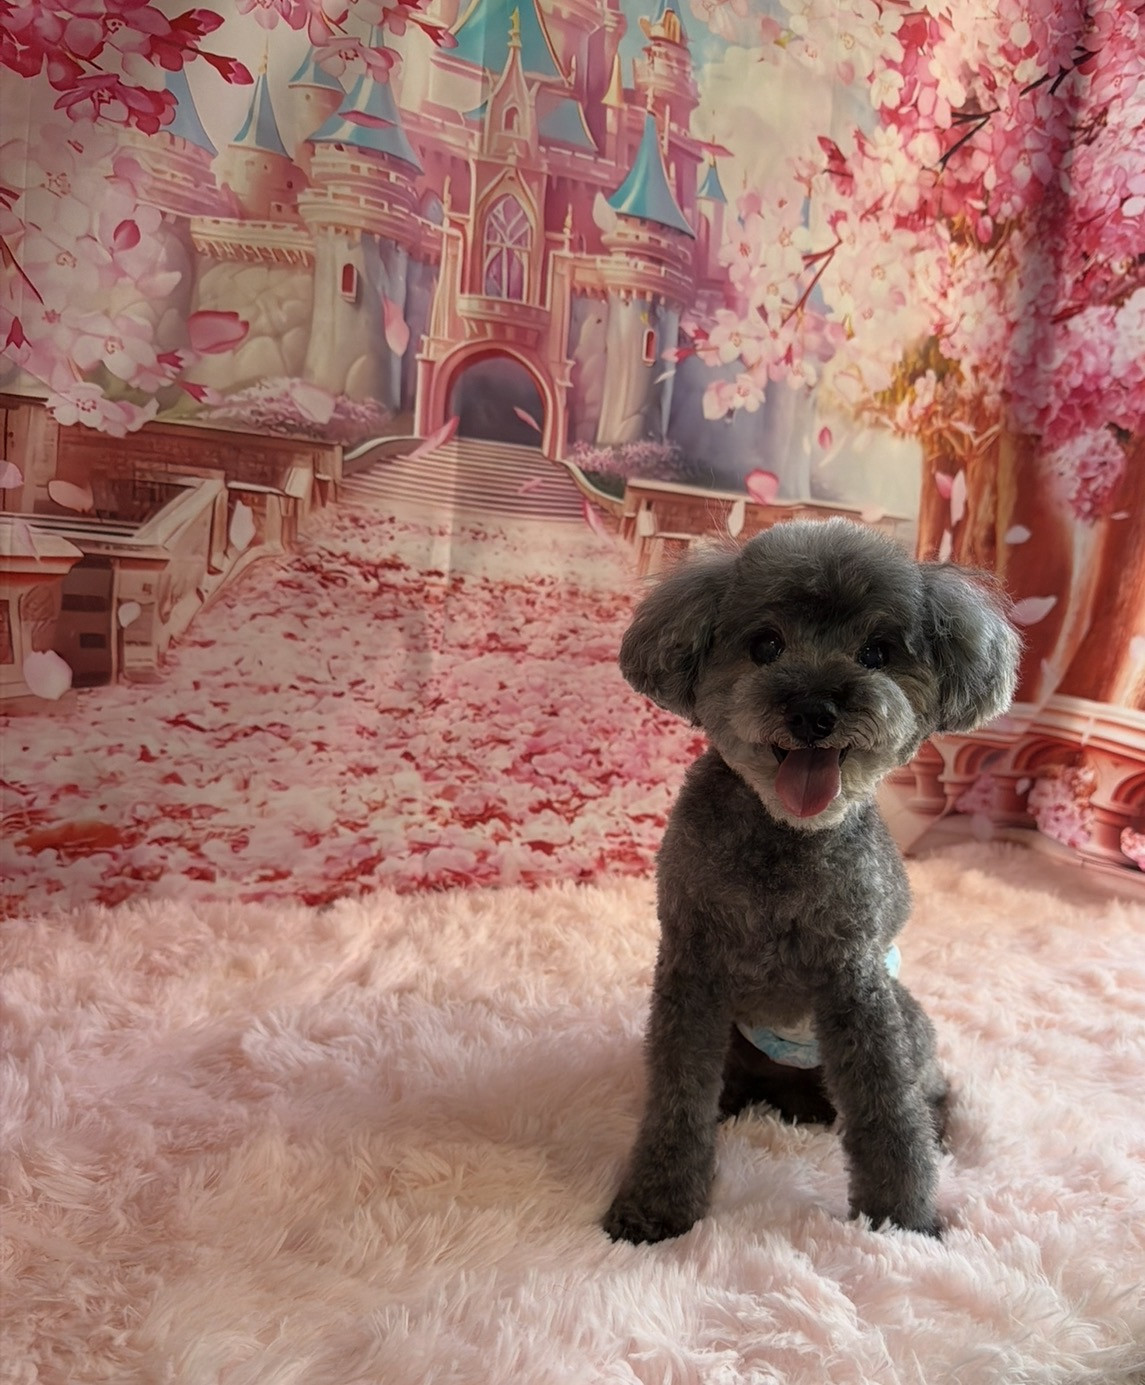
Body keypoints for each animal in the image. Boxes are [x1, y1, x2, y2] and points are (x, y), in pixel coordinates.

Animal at [603, 517, 1021, 1244]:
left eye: (877, 651)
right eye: (764, 645)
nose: (813, 710)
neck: (784, 837)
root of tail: (790, 1091)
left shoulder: (854, 983)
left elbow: (887, 1110)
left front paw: (903, 1221)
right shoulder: (692, 970)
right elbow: (678, 1096)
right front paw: (655, 1206)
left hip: (908, 1017)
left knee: (928, 1088)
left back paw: (938, 1128)